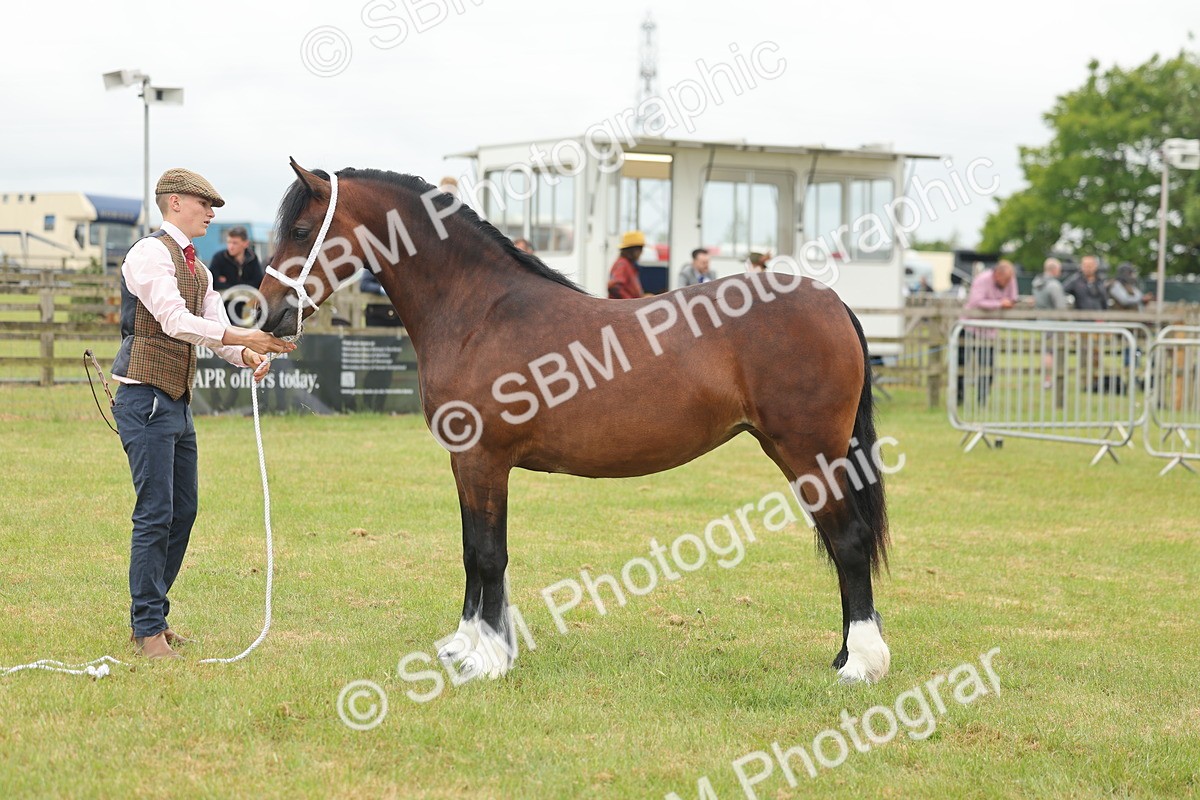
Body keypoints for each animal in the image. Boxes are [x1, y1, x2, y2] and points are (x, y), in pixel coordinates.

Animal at [257, 159, 892, 684]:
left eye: (300, 231)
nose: (268, 315)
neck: (478, 312)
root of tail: (832, 303)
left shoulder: (483, 460)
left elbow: (488, 554)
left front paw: (487, 660)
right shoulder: (466, 464)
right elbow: (471, 551)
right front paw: (464, 646)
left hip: (810, 453)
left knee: (849, 542)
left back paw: (860, 665)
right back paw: (844, 653)